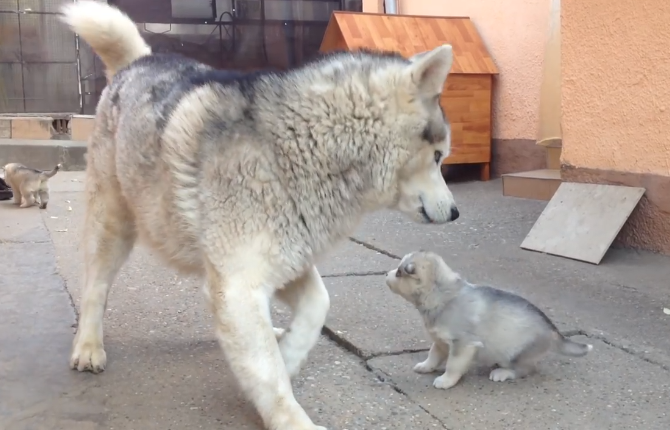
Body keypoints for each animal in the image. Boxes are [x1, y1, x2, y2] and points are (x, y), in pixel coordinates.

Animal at [61, 1, 462, 428]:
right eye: (439, 156)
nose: (456, 212)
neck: (307, 147)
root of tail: (138, 62)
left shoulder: (287, 259)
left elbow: (317, 306)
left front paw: (287, 357)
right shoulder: (241, 280)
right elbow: (266, 369)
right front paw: (290, 417)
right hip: (113, 224)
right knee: (96, 288)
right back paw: (88, 345)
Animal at [384, 252, 592, 390]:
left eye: (399, 273)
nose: (385, 274)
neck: (442, 294)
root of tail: (554, 332)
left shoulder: (463, 344)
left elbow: (453, 365)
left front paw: (446, 381)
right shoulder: (441, 341)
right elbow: (433, 354)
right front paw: (426, 366)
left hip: (517, 353)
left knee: (525, 369)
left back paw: (502, 373)